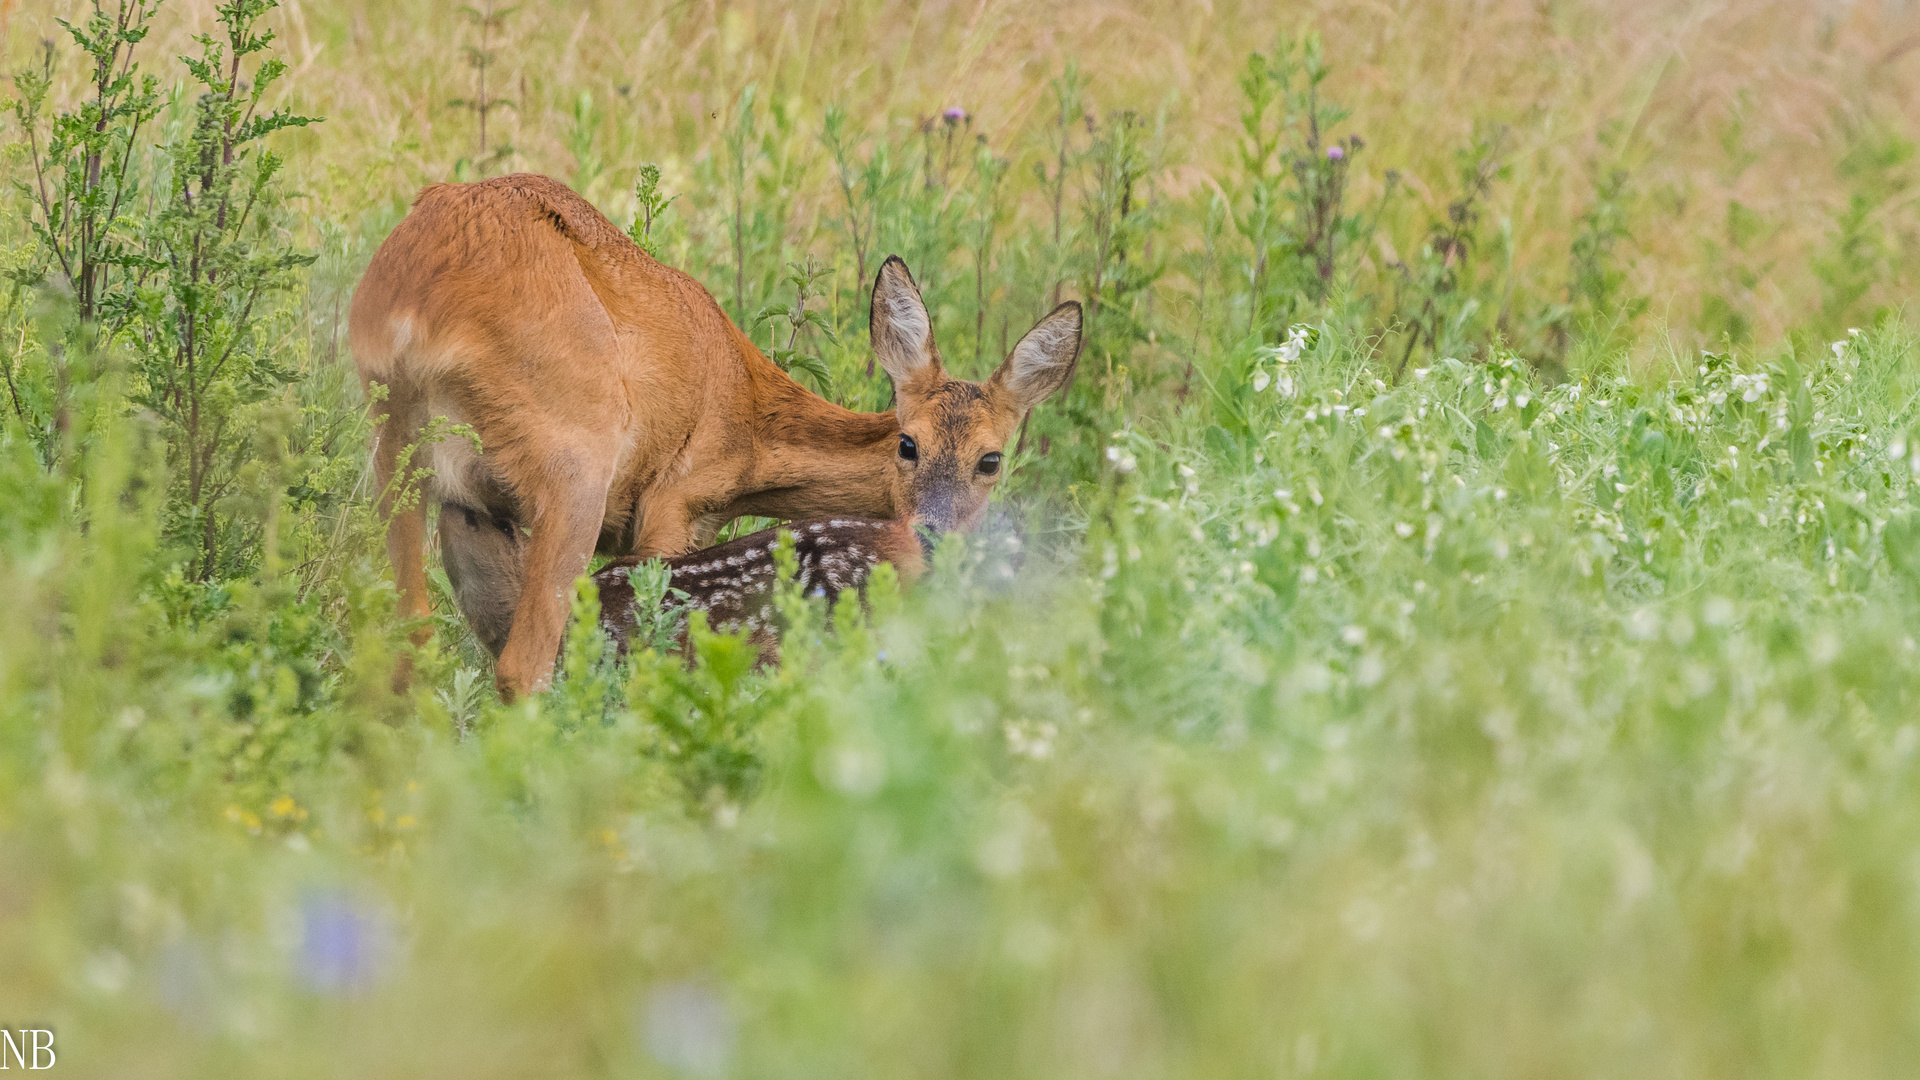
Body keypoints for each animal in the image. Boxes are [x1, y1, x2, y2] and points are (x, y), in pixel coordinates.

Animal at [353, 174, 1082, 699]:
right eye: (909, 444)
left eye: (991, 459)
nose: (933, 534)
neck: (747, 420)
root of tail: (417, 305)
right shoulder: (673, 501)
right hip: (574, 459)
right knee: (523, 666)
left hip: (401, 455)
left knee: (412, 645)